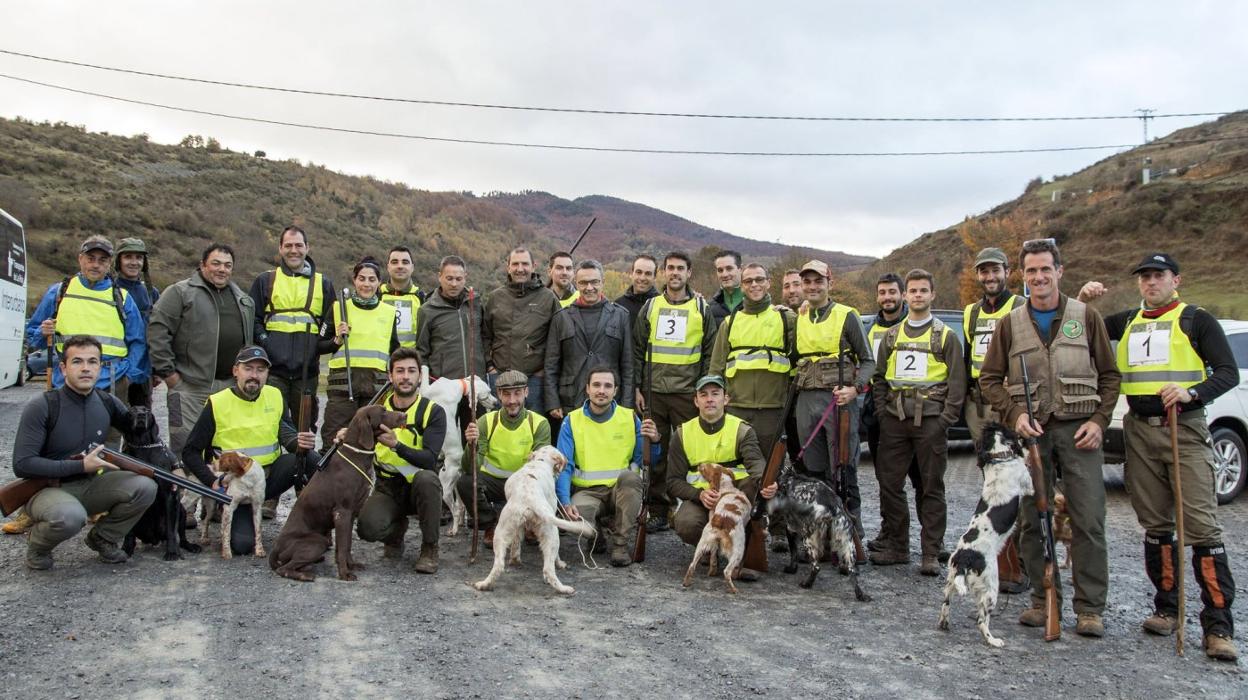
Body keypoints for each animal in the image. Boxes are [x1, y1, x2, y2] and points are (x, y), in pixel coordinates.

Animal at [419, 366, 496, 534]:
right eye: (488, 393)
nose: (496, 402)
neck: (459, 386)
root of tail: (460, 464)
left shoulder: (425, 390)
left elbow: (424, 370)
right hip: (455, 486)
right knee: (460, 507)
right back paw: (460, 522)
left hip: (446, 486)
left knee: (454, 508)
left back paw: (453, 529)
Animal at [474, 444, 596, 591]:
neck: (540, 461)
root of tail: (531, 500)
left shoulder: (517, 528)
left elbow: (515, 546)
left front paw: (515, 561)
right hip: (552, 535)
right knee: (549, 569)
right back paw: (564, 588)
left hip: (501, 534)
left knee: (498, 566)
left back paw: (484, 584)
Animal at [763, 459, 873, 601]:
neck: (789, 478)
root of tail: (834, 509)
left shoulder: (791, 529)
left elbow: (793, 553)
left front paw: (792, 569)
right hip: (847, 545)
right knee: (852, 572)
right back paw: (860, 594)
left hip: (809, 540)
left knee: (816, 567)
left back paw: (807, 583)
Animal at [938, 419, 1033, 643]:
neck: (999, 458)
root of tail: (965, 558)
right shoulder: (1027, 482)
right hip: (991, 589)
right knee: (982, 621)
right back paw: (994, 641)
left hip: (951, 579)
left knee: (946, 603)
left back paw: (944, 624)